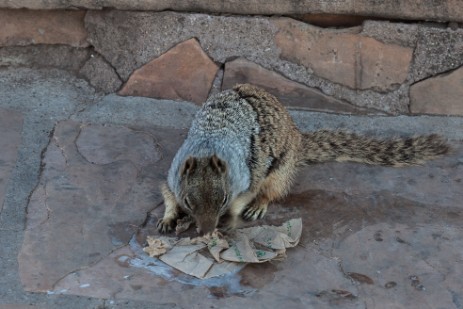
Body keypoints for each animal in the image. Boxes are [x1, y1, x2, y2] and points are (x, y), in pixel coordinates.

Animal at [157, 83, 450, 233]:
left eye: (223, 199)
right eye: (188, 201)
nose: (206, 232)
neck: (208, 148)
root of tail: (297, 138)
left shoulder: (250, 175)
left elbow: (245, 197)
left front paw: (230, 220)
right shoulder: (173, 176)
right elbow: (167, 194)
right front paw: (168, 218)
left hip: (281, 170)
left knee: (273, 191)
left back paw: (259, 206)